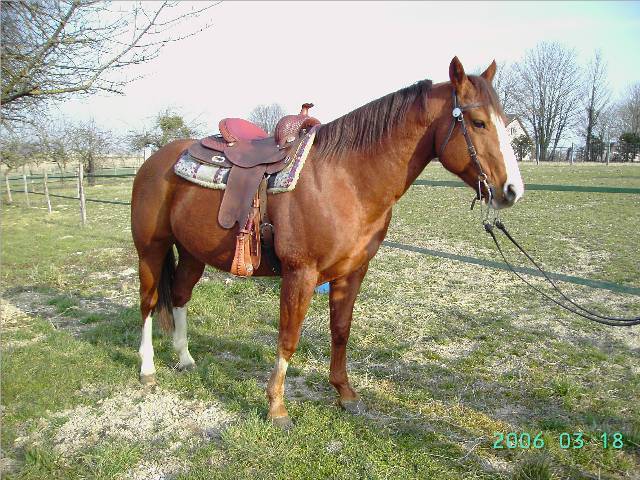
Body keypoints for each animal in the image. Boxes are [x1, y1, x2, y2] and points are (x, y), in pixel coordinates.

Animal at [130, 57, 524, 429]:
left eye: (506, 121)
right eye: (478, 123)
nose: (512, 191)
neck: (346, 179)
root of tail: (155, 159)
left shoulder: (352, 272)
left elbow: (341, 331)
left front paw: (345, 393)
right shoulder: (300, 274)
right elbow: (289, 337)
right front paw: (277, 407)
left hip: (193, 253)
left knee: (180, 296)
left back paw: (184, 359)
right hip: (151, 250)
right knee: (149, 302)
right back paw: (148, 370)